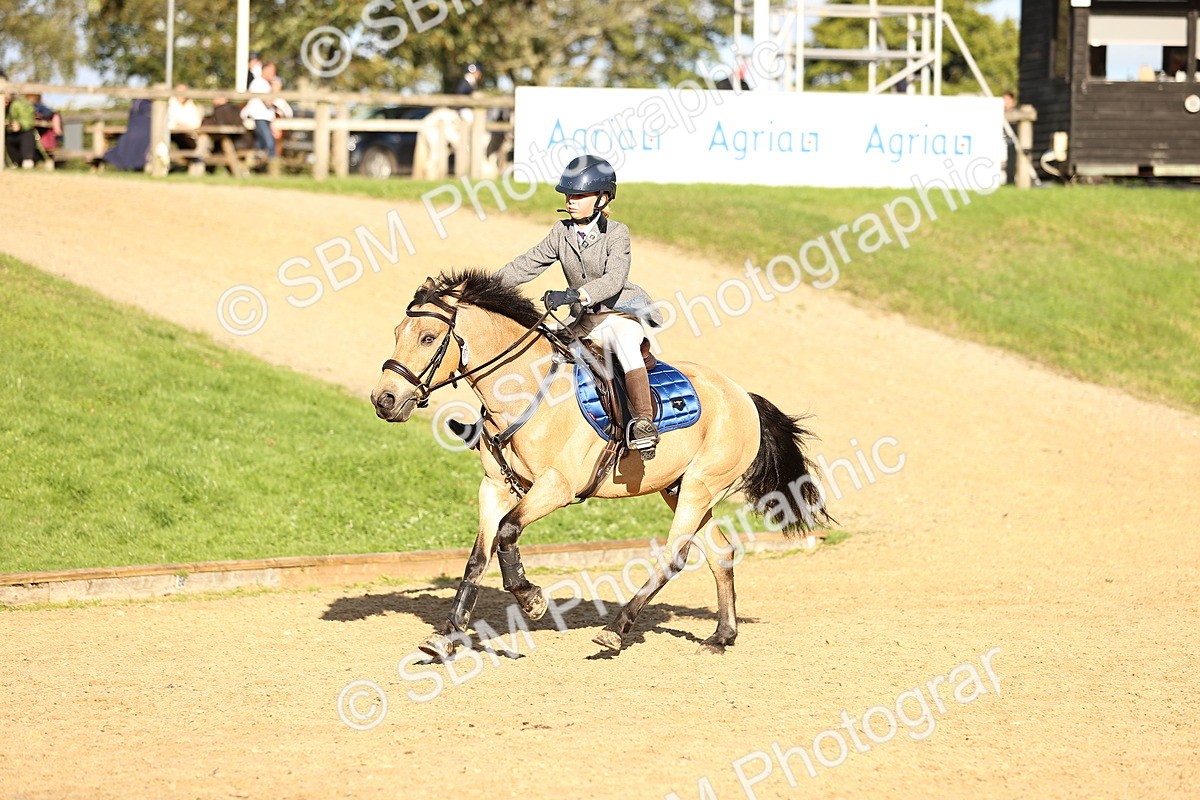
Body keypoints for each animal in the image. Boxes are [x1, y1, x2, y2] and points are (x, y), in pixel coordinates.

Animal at [370, 270, 831, 658]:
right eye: (396, 333)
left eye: (428, 337)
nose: (384, 400)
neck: (523, 391)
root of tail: (741, 395)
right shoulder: (494, 486)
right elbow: (477, 558)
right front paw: (447, 635)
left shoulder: (556, 487)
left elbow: (508, 532)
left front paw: (531, 599)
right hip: (680, 488)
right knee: (720, 552)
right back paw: (721, 636)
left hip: (700, 488)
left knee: (675, 555)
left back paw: (616, 628)